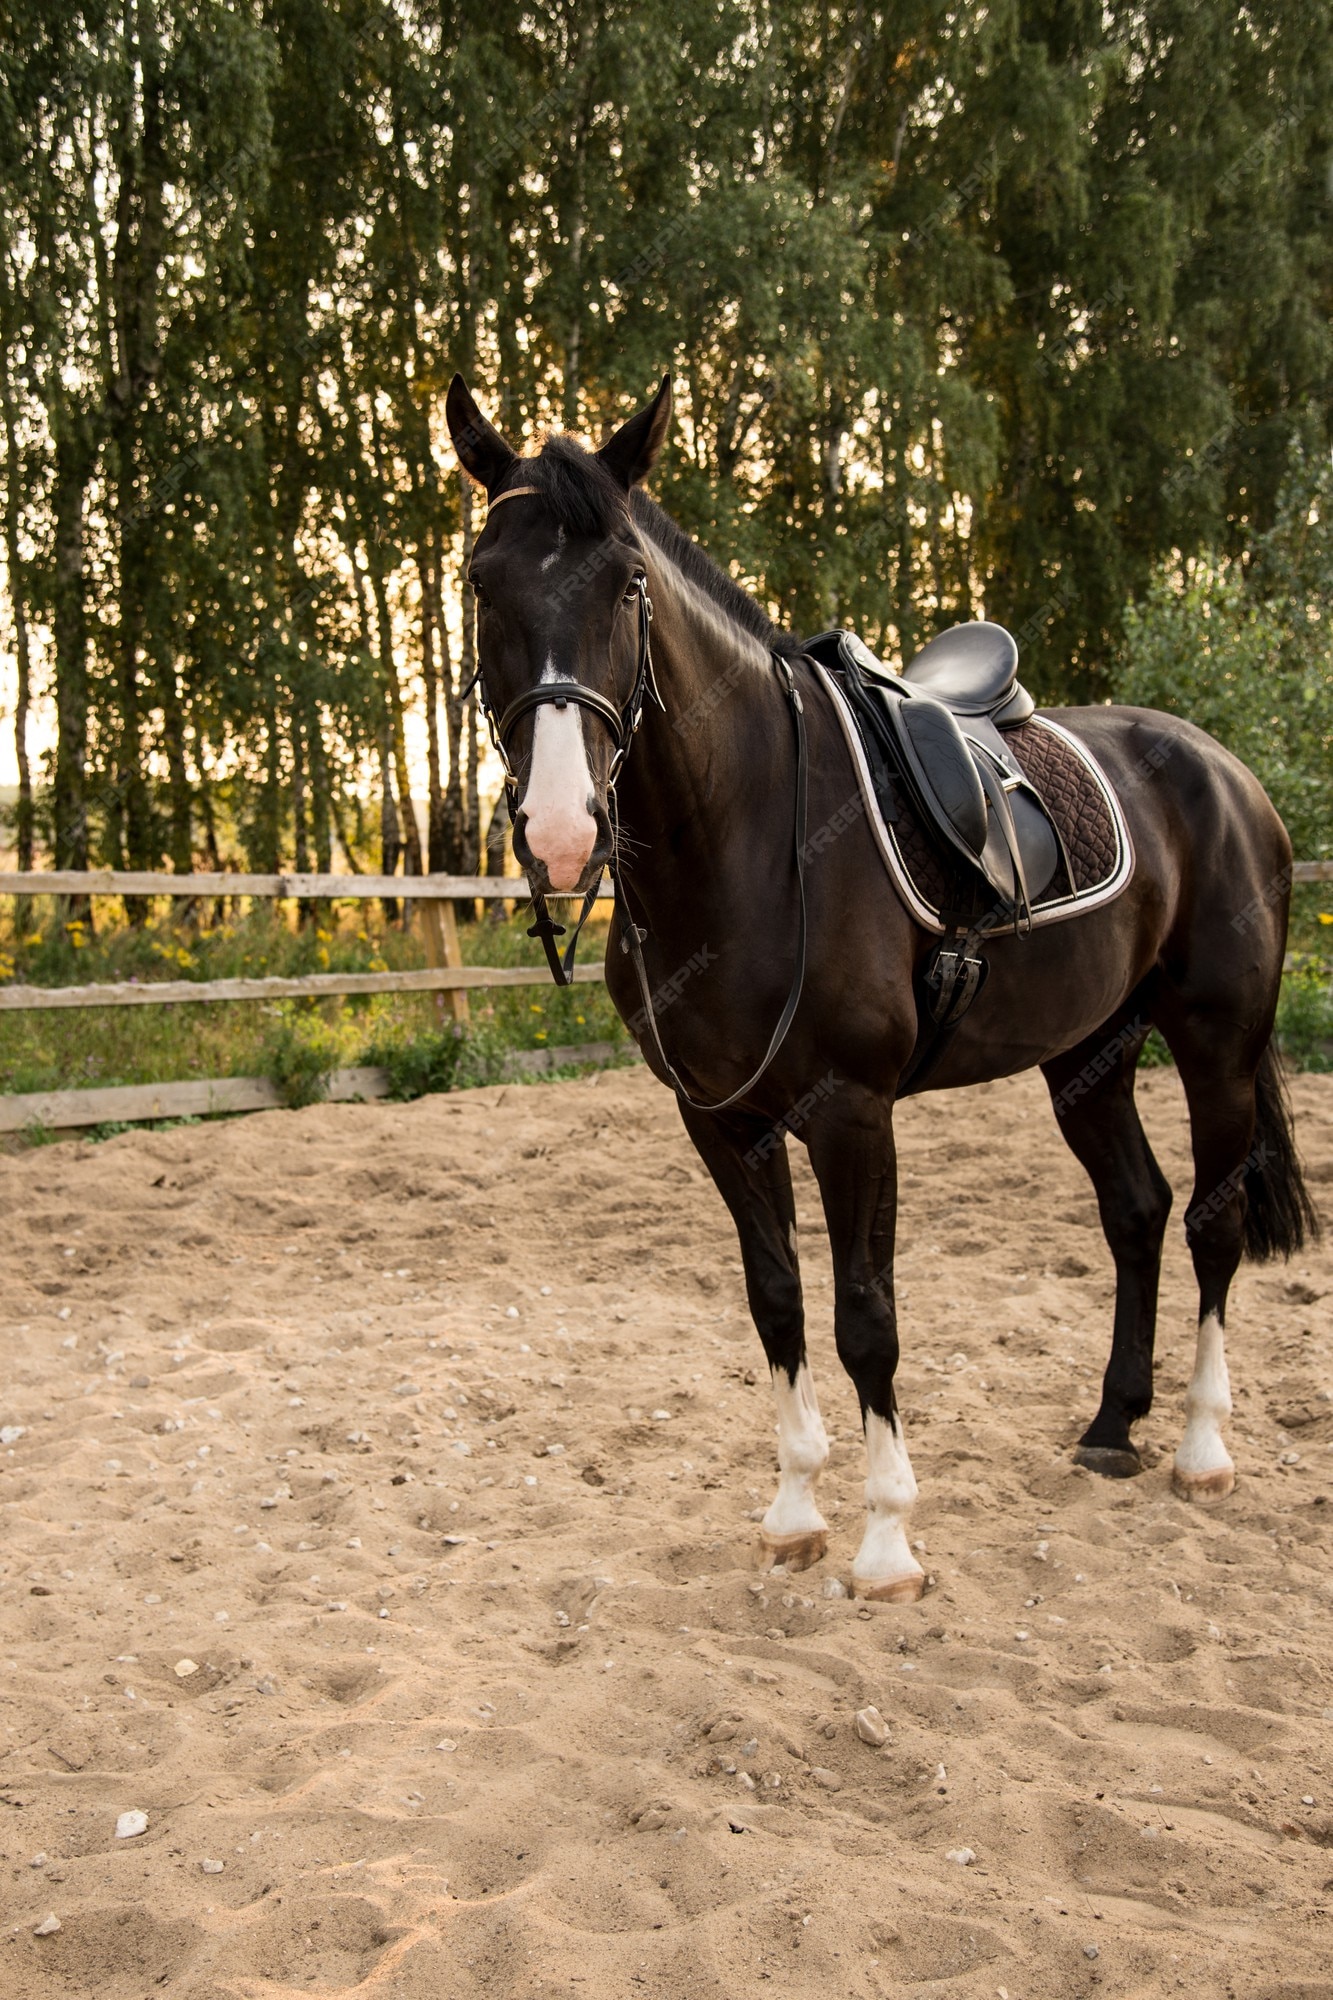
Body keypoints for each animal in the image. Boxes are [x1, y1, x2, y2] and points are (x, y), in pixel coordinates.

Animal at [440, 368, 1312, 1600]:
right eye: (482, 579)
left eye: (627, 583)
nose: (563, 831)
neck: (750, 836)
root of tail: (1227, 772)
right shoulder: (720, 1120)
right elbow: (775, 1300)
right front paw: (793, 1513)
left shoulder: (851, 1114)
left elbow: (865, 1315)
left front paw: (887, 1542)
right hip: (1086, 1052)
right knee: (1135, 1210)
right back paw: (1111, 1426)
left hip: (1214, 1040)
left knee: (1211, 1220)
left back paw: (1198, 1448)